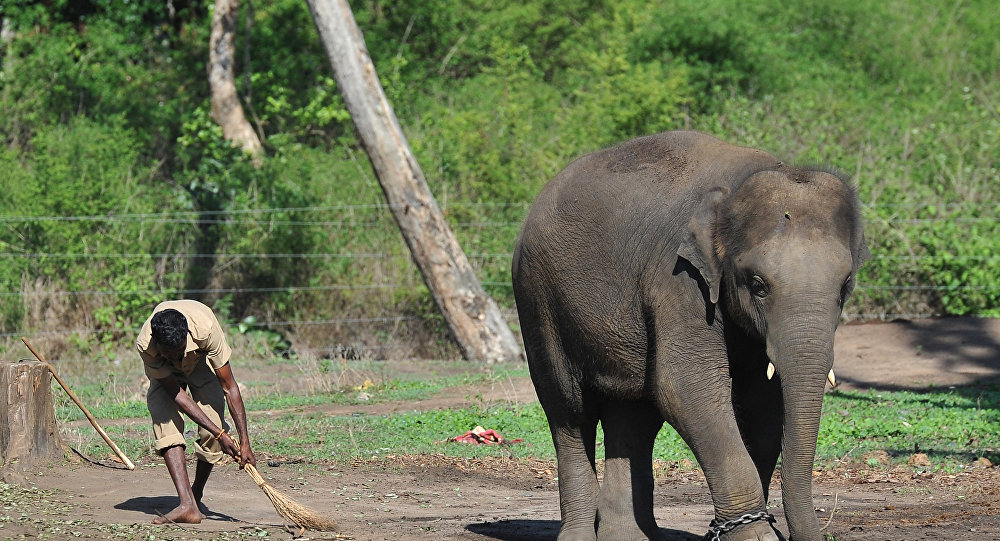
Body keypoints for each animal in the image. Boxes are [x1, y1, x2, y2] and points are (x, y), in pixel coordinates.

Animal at [512, 131, 872, 540]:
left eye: (845, 285)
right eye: (758, 285)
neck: (738, 184)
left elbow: (763, 406)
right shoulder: (678, 279)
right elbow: (685, 388)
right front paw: (756, 536)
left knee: (633, 416)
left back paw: (630, 536)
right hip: (538, 300)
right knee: (570, 413)